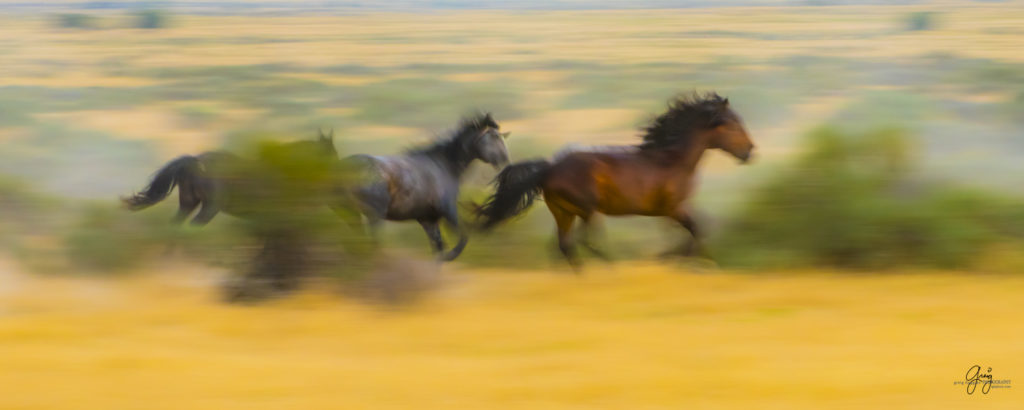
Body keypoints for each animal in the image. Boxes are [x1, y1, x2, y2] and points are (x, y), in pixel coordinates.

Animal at [475, 92, 757, 268]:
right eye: (732, 124)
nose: (750, 152)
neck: (671, 160)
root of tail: (550, 168)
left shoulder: (669, 212)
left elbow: (695, 229)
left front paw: (675, 258)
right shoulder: (673, 208)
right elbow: (698, 229)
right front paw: (677, 259)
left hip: (563, 212)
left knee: (564, 245)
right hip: (587, 209)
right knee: (583, 241)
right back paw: (610, 267)